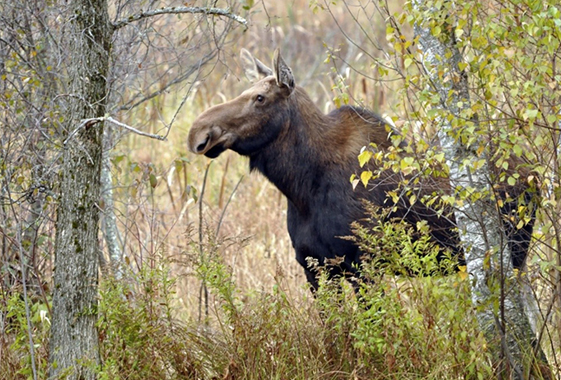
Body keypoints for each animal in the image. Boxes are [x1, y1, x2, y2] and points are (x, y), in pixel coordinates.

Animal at [188, 48, 532, 290]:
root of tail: (534, 172)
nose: (198, 133)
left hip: (514, 252)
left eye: (259, 98)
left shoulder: (362, 264)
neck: (299, 187)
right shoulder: (313, 267)